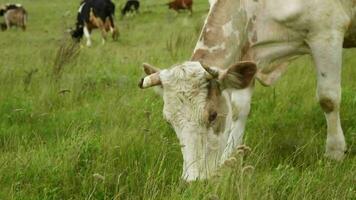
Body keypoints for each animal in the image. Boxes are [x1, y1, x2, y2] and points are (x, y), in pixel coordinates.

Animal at [138, 0, 354, 181]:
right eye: (168, 121)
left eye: (212, 115)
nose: (193, 180)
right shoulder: (248, 52)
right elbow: (238, 109)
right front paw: (229, 159)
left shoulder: (327, 33)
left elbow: (328, 98)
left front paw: (335, 152)